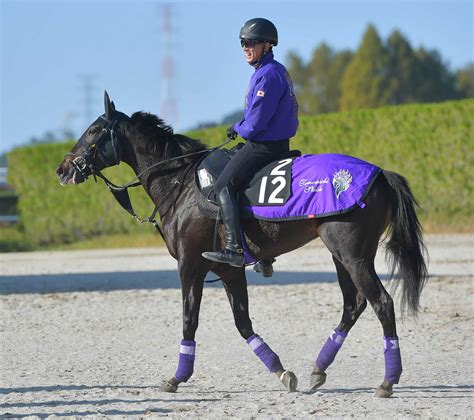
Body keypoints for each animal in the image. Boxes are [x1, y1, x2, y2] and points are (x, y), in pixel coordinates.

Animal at [56, 92, 430, 398]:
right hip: (342, 255)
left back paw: (387, 381)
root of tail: (380, 173)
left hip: (352, 255)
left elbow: (189, 319)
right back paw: (318, 369)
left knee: (381, 303)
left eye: (94, 130)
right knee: (353, 305)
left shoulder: (190, 266)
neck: (181, 182)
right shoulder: (227, 270)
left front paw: (177, 378)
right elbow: (243, 323)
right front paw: (281, 372)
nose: (63, 169)